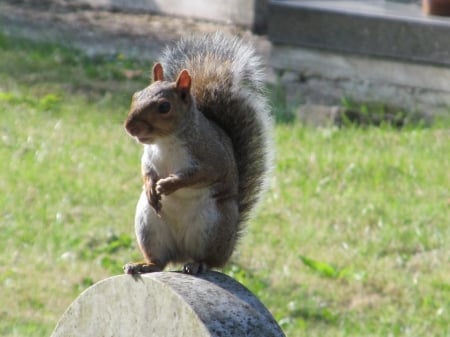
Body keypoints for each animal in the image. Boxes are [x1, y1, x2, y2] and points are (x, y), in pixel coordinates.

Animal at [121, 31, 272, 274]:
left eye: (164, 107)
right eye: (136, 95)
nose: (129, 126)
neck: (166, 142)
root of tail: (181, 254)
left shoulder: (212, 158)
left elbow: (199, 175)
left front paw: (168, 185)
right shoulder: (149, 157)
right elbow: (146, 171)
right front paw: (151, 187)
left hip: (213, 226)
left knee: (210, 260)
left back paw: (199, 264)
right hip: (149, 226)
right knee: (160, 260)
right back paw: (144, 265)